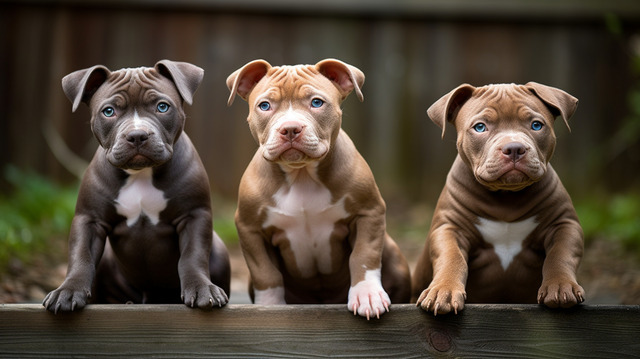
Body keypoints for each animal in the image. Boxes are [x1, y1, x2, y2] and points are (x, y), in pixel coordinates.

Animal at [228, 59, 412, 320]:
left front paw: (367, 294)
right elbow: (265, 273)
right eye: (264, 105)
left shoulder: (369, 212)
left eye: (316, 102)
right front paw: (270, 306)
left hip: (395, 256)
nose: (290, 128)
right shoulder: (249, 228)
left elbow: (364, 255)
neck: (301, 175)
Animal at [416, 83, 584, 316]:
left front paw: (561, 286)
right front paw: (443, 291)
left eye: (536, 125)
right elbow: (451, 257)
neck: (505, 197)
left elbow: (560, 254)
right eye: (480, 127)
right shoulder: (449, 228)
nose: (514, 148)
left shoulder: (564, 224)